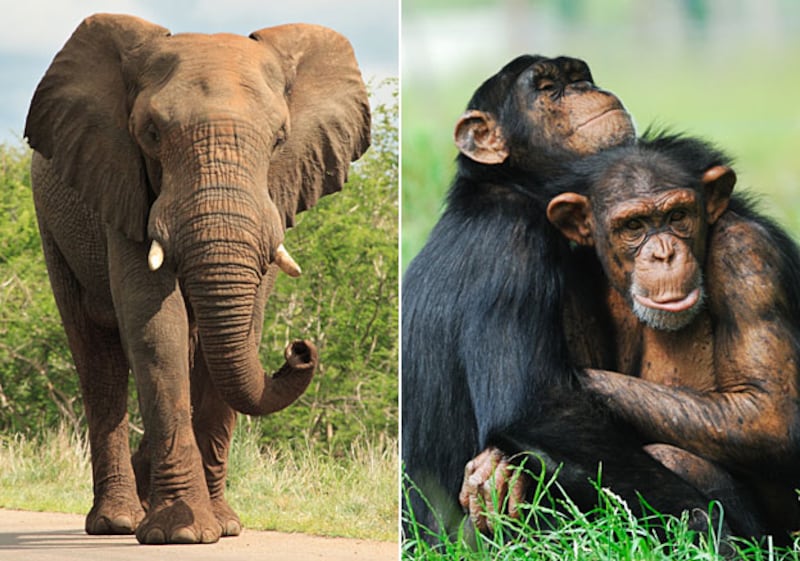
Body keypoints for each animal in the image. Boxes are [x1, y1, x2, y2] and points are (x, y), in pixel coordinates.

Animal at [24, 13, 371, 544]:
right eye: (150, 133)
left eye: (279, 138)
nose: (299, 349)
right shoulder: (124, 185)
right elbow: (154, 328)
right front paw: (179, 533)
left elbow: (242, 326)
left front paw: (223, 527)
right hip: (53, 226)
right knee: (97, 357)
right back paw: (117, 521)